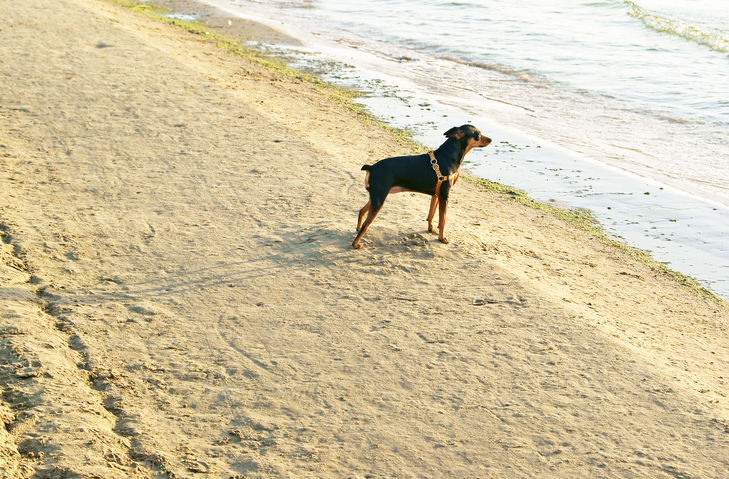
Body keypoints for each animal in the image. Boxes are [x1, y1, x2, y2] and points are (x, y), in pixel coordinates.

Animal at [352, 124, 492, 248]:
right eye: (478, 135)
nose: (490, 139)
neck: (449, 155)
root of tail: (371, 167)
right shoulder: (444, 196)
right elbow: (443, 220)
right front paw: (442, 238)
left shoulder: (437, 195)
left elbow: (431, 214)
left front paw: (431, 229)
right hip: (379, 199)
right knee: (366, 225)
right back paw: (356, 244)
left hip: (375, 197)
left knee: (362, 211)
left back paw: (357, 229)